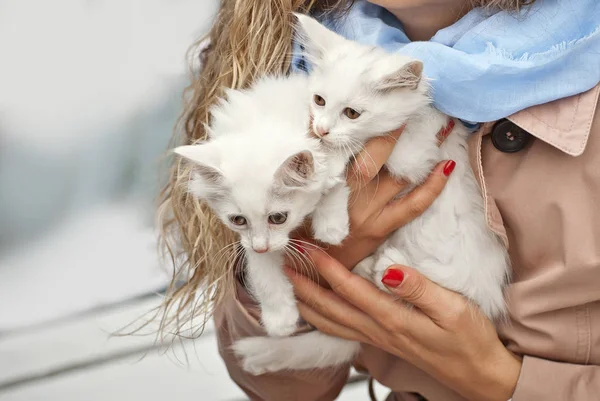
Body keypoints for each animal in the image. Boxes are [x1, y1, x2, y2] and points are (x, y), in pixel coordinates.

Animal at [173, 76, 344, 338]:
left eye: (278, 218)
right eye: (238, 220)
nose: (261, 247)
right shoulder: (250, 242)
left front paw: (331, 227)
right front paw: (280, 319)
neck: (265, 122)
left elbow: (334, 180)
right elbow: (263, 273)